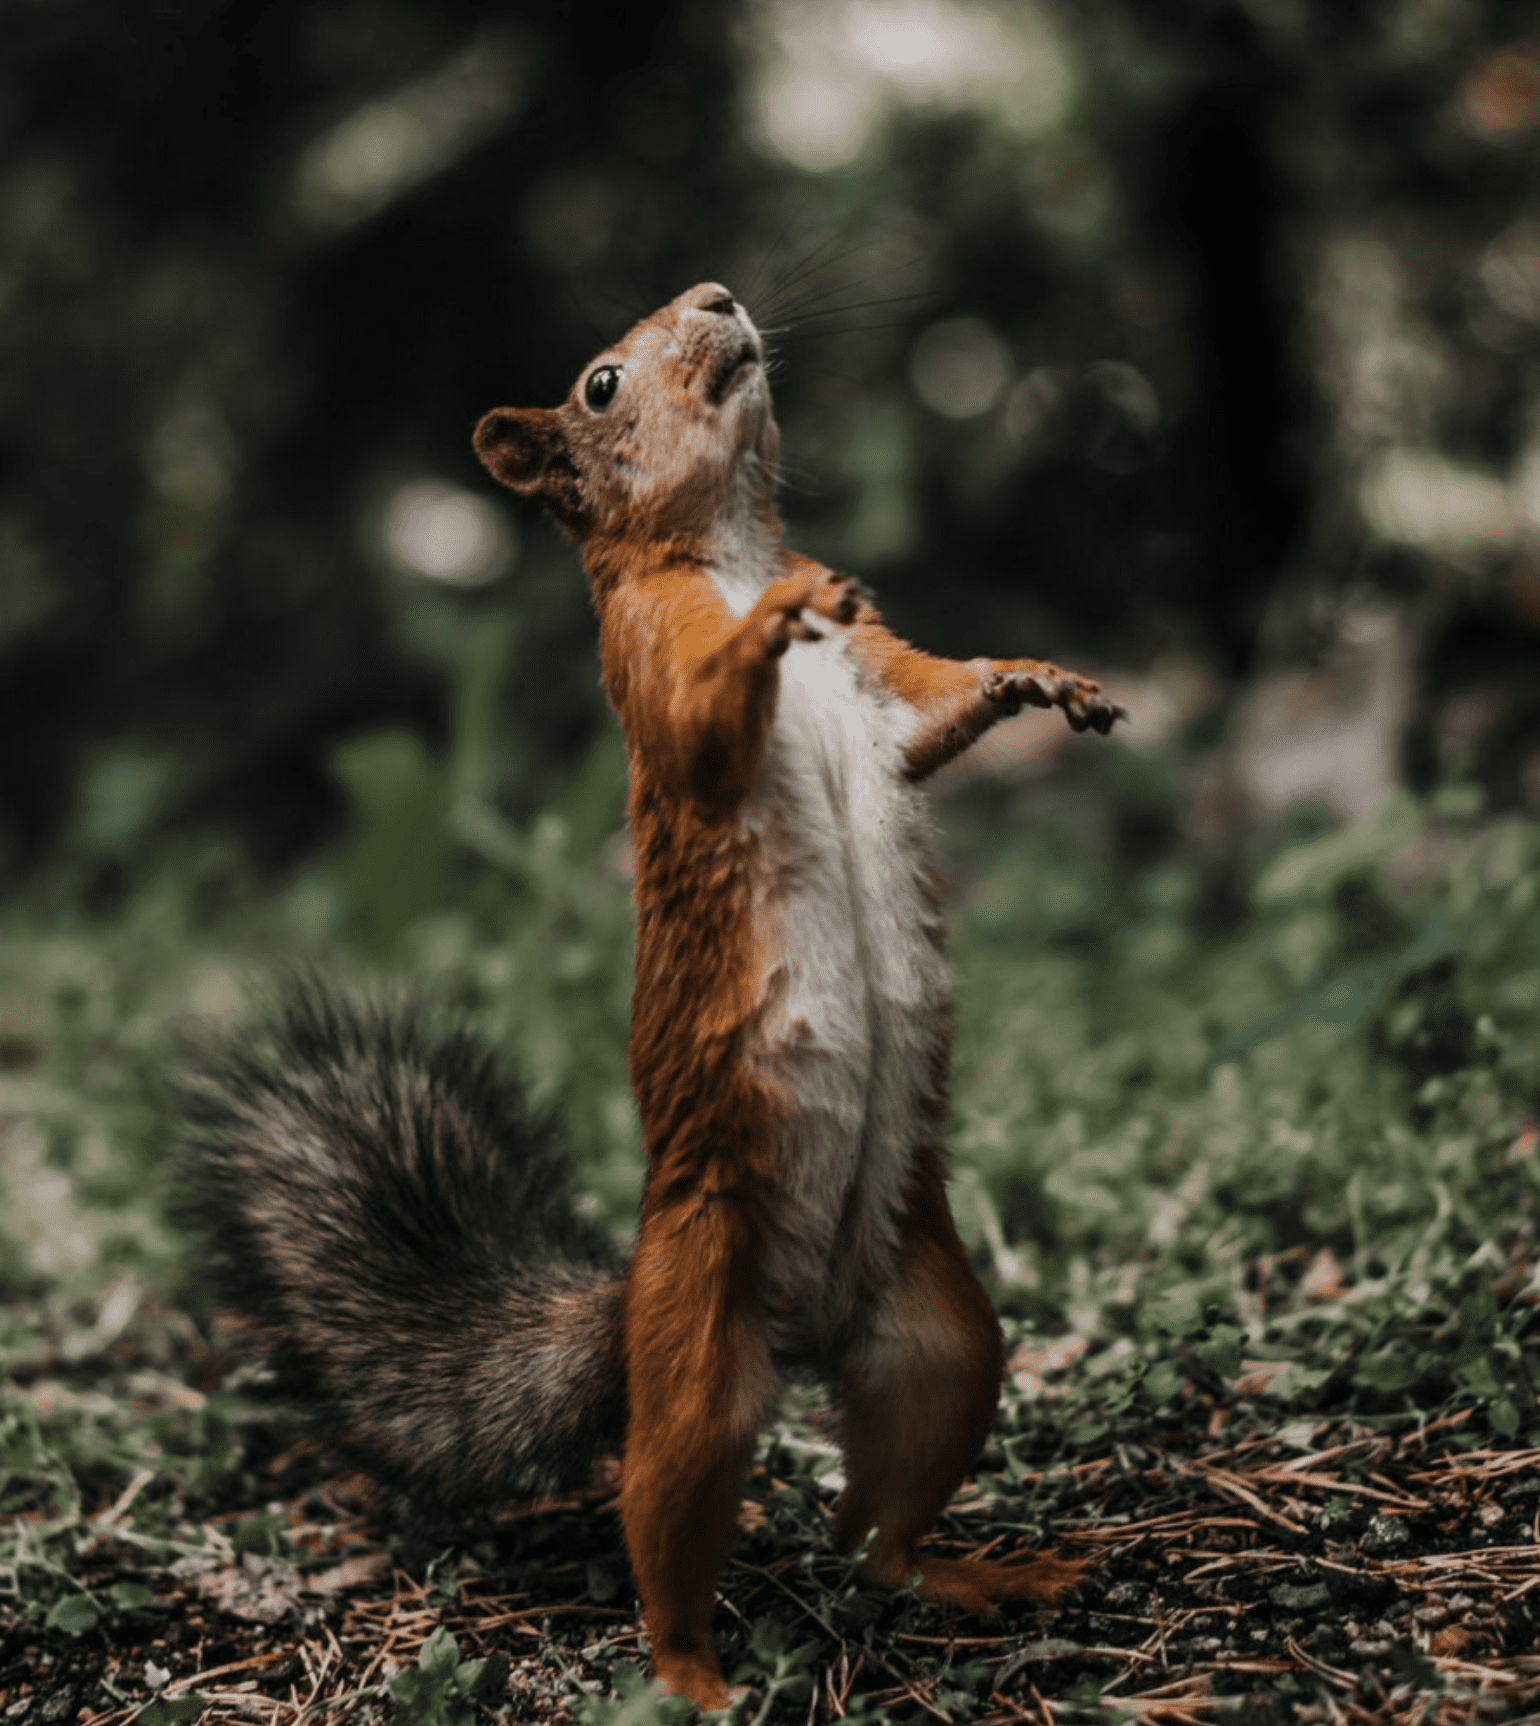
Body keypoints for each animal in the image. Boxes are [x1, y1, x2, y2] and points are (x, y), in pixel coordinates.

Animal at [178, 282, 1127, 1711]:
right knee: (665, 1514)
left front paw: (1037, 678)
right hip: (695, 1357)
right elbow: (700, 721)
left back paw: (973, 1574)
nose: (719, 297)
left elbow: (934, 709)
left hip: (944, 1341)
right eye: (601, 383)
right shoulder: (650, 659)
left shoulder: (882, 681)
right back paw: (693, 1674)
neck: (724, 546)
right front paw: (780, 612)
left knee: (874, 1535)